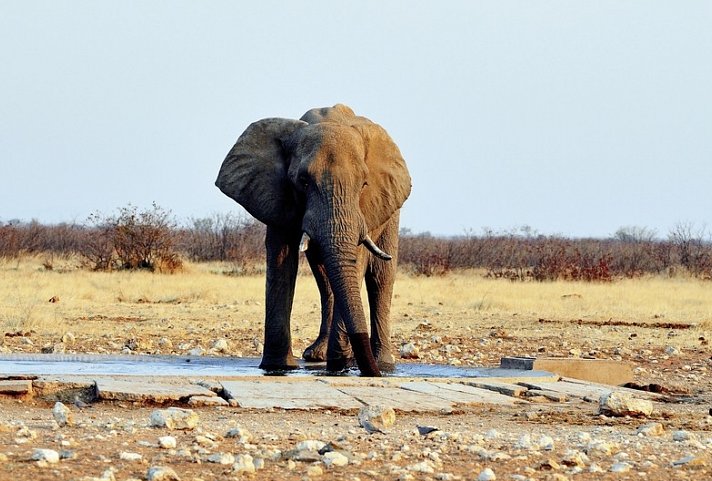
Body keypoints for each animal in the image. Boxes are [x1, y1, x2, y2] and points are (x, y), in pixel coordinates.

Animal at [214, 104, 412, 376]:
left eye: (364, 184)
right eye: (303, 182)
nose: (367, 370)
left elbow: (358, 261)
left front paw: (338, 364)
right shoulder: (277, 195)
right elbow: (281, 260)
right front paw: (278, 367)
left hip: (390, 209)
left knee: (380, 277)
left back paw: (381, 364)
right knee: (324, 277)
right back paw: (320, 356)